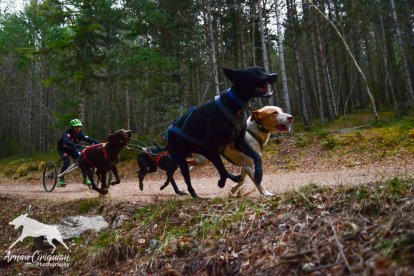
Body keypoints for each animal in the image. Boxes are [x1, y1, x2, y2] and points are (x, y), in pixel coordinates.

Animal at [167, 66, 276, 198]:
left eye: (263, 69)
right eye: (254, 72)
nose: (274, 75)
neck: (234, 106)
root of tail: (169, 132)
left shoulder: (239, 143)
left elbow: (256, 157)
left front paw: (259, 174)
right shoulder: (211, 147)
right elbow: (223, 170)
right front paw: (222, 182)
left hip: (204, 155)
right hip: (183, 157)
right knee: (187, 177)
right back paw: (193, 193)